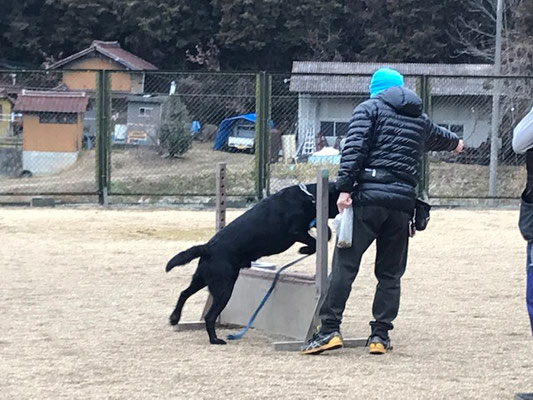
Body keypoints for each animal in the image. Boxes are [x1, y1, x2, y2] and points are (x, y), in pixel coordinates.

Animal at [166, 184, 338, 344]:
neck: (308, 195)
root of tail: (207, 247)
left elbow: (326, 232)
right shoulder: (296, 231)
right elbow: (315, 241)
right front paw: (304, 249)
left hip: (202, 279)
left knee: (184, 293)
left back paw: (174, 318)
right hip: (224, 289)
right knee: (209, 316)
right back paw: (215, 339)